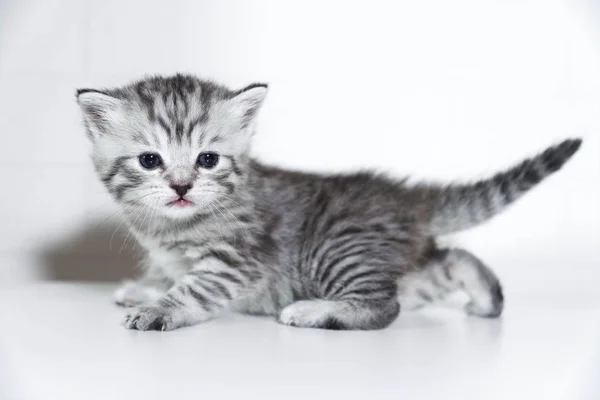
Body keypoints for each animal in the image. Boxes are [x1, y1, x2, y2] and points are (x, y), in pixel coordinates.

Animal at [75, 73, 580, 330]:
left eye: (207, 159)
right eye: (150, 160)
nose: (181, 187)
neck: (172, 227)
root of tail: (405, 199)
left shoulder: (238, 259)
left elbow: (197, 287)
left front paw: (160, 308)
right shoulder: (169, 252)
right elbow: (170, 273)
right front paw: (148, 288)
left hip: (338, 248)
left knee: (385, 306)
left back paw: (314, 311)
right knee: (448, 261)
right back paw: (487, 300)